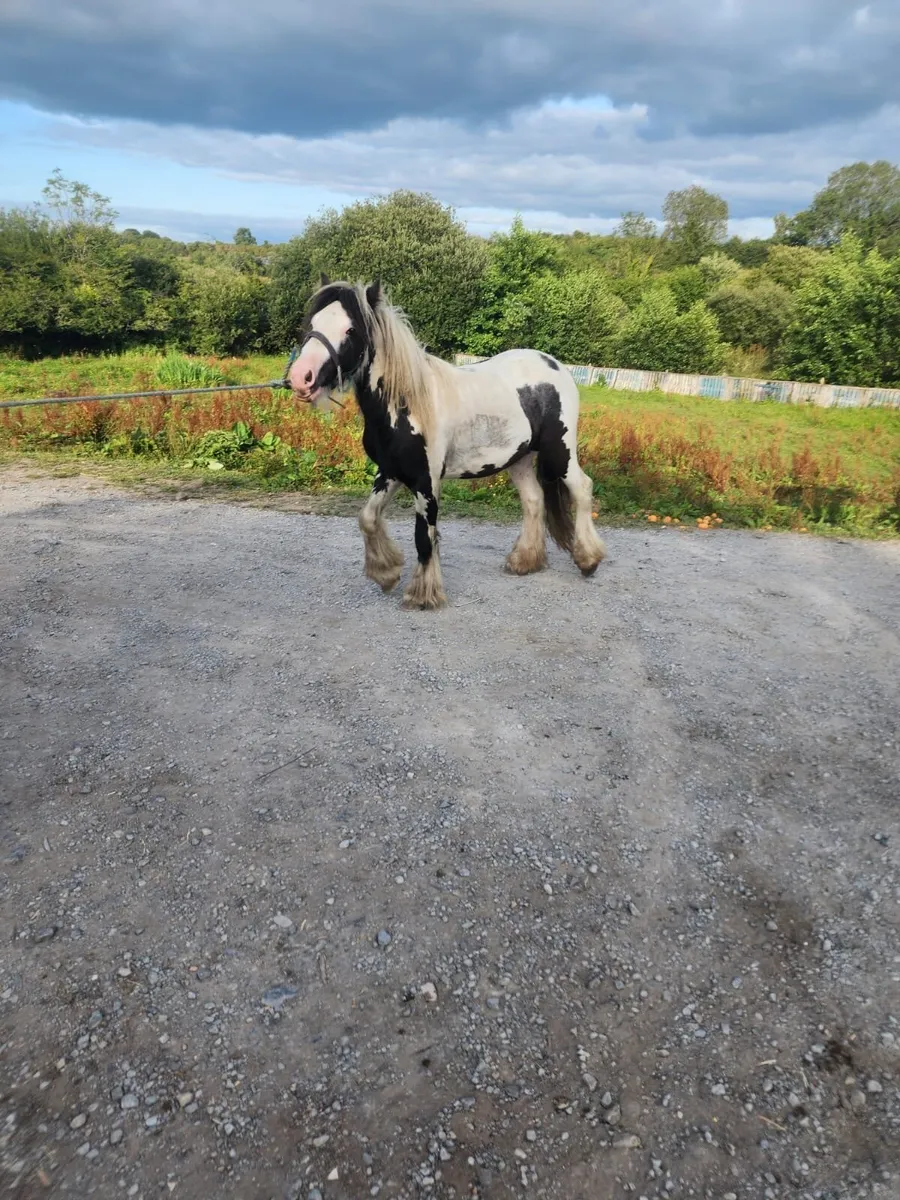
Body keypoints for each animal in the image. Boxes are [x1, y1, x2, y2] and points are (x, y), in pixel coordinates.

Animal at [287, 275, 606, 610]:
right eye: (313, 323)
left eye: (350, 330)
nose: (301, 378)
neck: (406, 403)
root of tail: (555, 365)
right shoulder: (389, 472)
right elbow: (368, 518)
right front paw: (386, 573)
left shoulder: (425, 481)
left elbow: (423, 537)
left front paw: (423, 594)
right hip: (519, 458)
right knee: (533, 500)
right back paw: (524, 561)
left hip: (560, 452)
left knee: (582, 489)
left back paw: (588, 559)